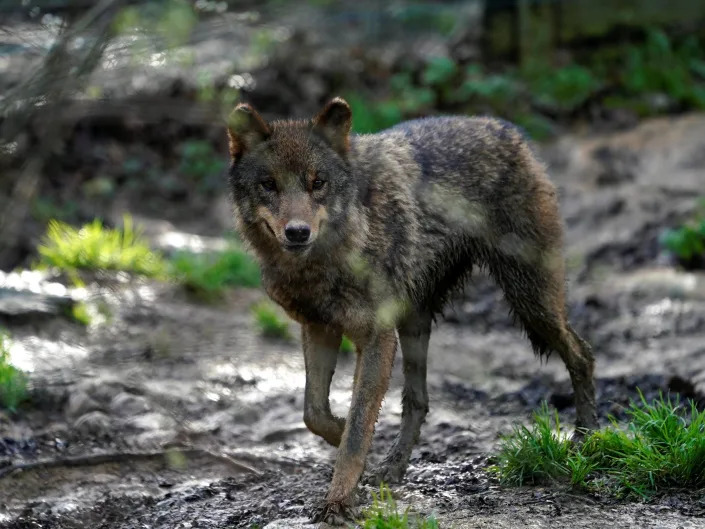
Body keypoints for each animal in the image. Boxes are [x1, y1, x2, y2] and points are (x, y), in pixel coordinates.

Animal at [227, 99, 600, 524]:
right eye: (268, 185)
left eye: (317, 182)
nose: (297, 232)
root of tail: (506, 128)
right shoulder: (320, 327)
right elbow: (315, 412)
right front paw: (347, 442)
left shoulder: (376, 337)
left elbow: (357, 428)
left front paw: (339, 500)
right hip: (415, 322)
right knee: (417, 401)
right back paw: (392, 467)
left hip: (531, 302)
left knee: (583, 354)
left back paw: (586, 438)